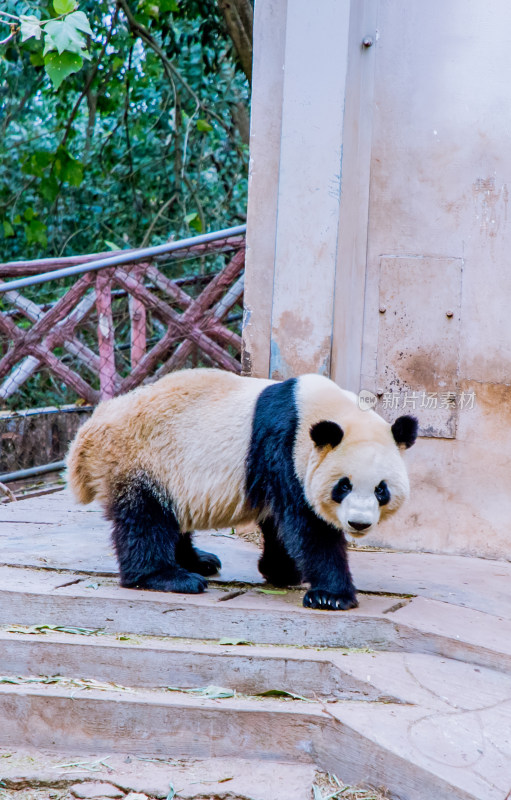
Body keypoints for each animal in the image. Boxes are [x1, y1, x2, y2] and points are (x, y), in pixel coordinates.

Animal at [66, 370, 418, 612]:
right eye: (343, 486)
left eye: (381, 490)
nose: (359, 523)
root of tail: (87, 432)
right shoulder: (284, 449)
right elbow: (307, 527)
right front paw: (332, 595)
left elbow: (279, 522)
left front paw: (282, 571)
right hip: (137, 459)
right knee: (144, 519)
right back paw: (166, 577)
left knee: (170, 515)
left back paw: (198, 561)